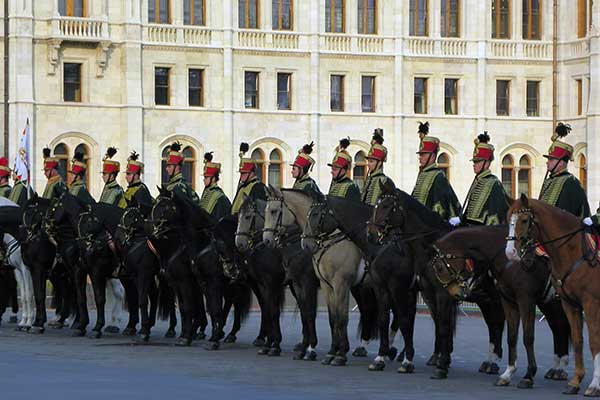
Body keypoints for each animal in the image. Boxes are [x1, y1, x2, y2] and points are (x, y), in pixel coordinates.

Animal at [241, 192, 322, 360]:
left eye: (247, 216)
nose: (239, 243)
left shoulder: (276, 283)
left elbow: (276, 311)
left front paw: (274, 344)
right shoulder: (268, 285)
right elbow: (270, 310)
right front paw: (270, 343)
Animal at [368, 181, 504, 378]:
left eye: (386, 206)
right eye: (376, 206)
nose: (370, 234)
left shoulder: (425, 292)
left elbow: (433, 324)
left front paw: (437, 364)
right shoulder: (423, 293)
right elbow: (392, 320)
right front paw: (384, 358)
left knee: (498, 323)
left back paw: (493, 362)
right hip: (487, 298)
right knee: (494, 324)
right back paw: (489, 361)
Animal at [434, 227, 568, 390]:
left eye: (440, 267)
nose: (456, 293)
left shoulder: (526, 300)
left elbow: (528, 337)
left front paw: (528, 375)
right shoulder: (507, 301)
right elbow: (511, 336)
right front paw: (508, 373)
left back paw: (559, 369)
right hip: (549, 302)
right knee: (559, 326)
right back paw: (557, 368)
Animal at [506, 195, 600, 396]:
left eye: (524, 220)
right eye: (508, 219)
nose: (510, 252)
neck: (575, 252)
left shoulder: (591, 304)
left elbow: (594, 341)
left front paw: (595, 384)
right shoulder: (569, 304)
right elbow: (578, 339)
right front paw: (575, 381)